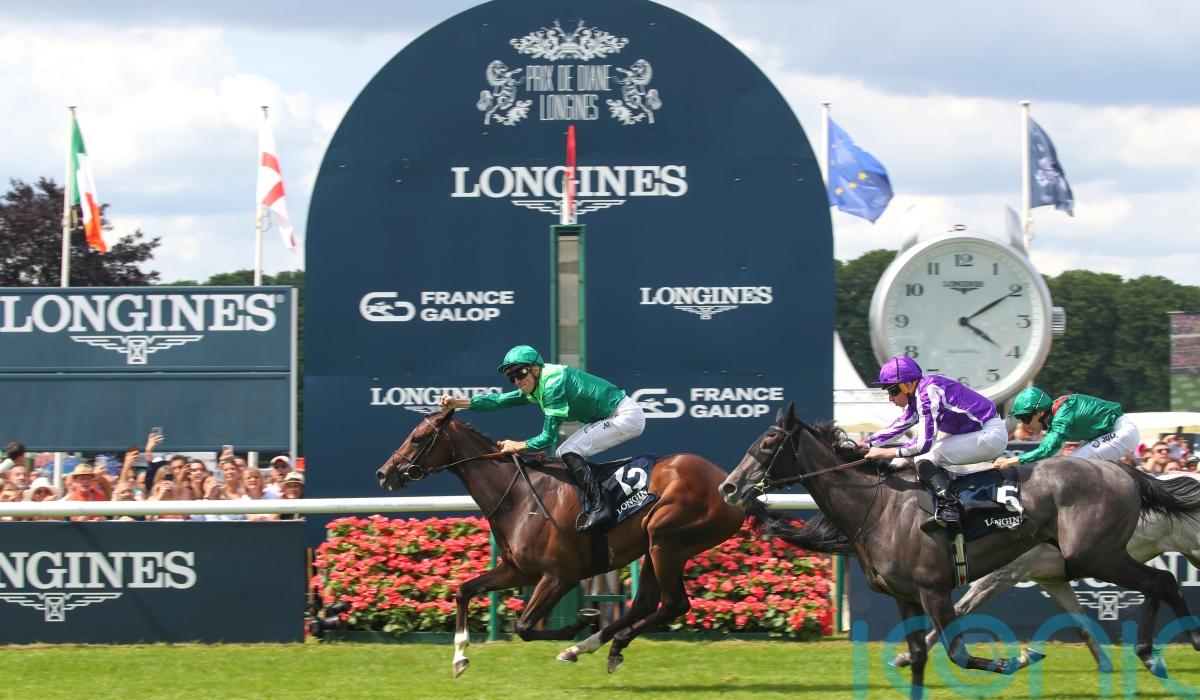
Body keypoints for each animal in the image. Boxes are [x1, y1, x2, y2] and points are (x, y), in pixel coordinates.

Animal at [375, 408, 767, 676]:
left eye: (418, 437)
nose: (384, 474)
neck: (517, 496)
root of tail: (728, 483)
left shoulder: (559, 576)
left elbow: (525, 628)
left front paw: (581, 620)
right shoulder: (517, 570)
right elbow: (463, 591)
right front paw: (459, 657)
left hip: (667, 542)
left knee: (673, 604)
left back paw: (590, 643)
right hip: (657, 548)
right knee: (646, 603)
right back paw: (595, 647)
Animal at [891, 470, 1200, 672]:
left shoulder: (1005, 573)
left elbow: (960, 609)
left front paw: (906, 655)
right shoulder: (1051, 579)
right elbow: (1079, 621)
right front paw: (1104, 664)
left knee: (1163, 582)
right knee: (1162, 584)